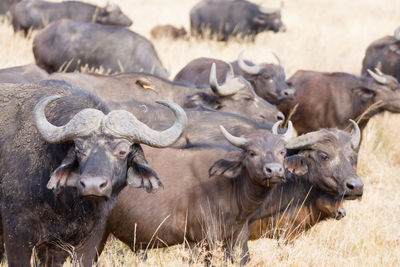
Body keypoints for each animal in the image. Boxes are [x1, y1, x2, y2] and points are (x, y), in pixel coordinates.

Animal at [0, 80, 187, 266]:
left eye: (122, 151)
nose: (92, 186)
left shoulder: (86, 240)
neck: (66, 204)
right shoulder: (17, 234)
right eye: (79, 149)